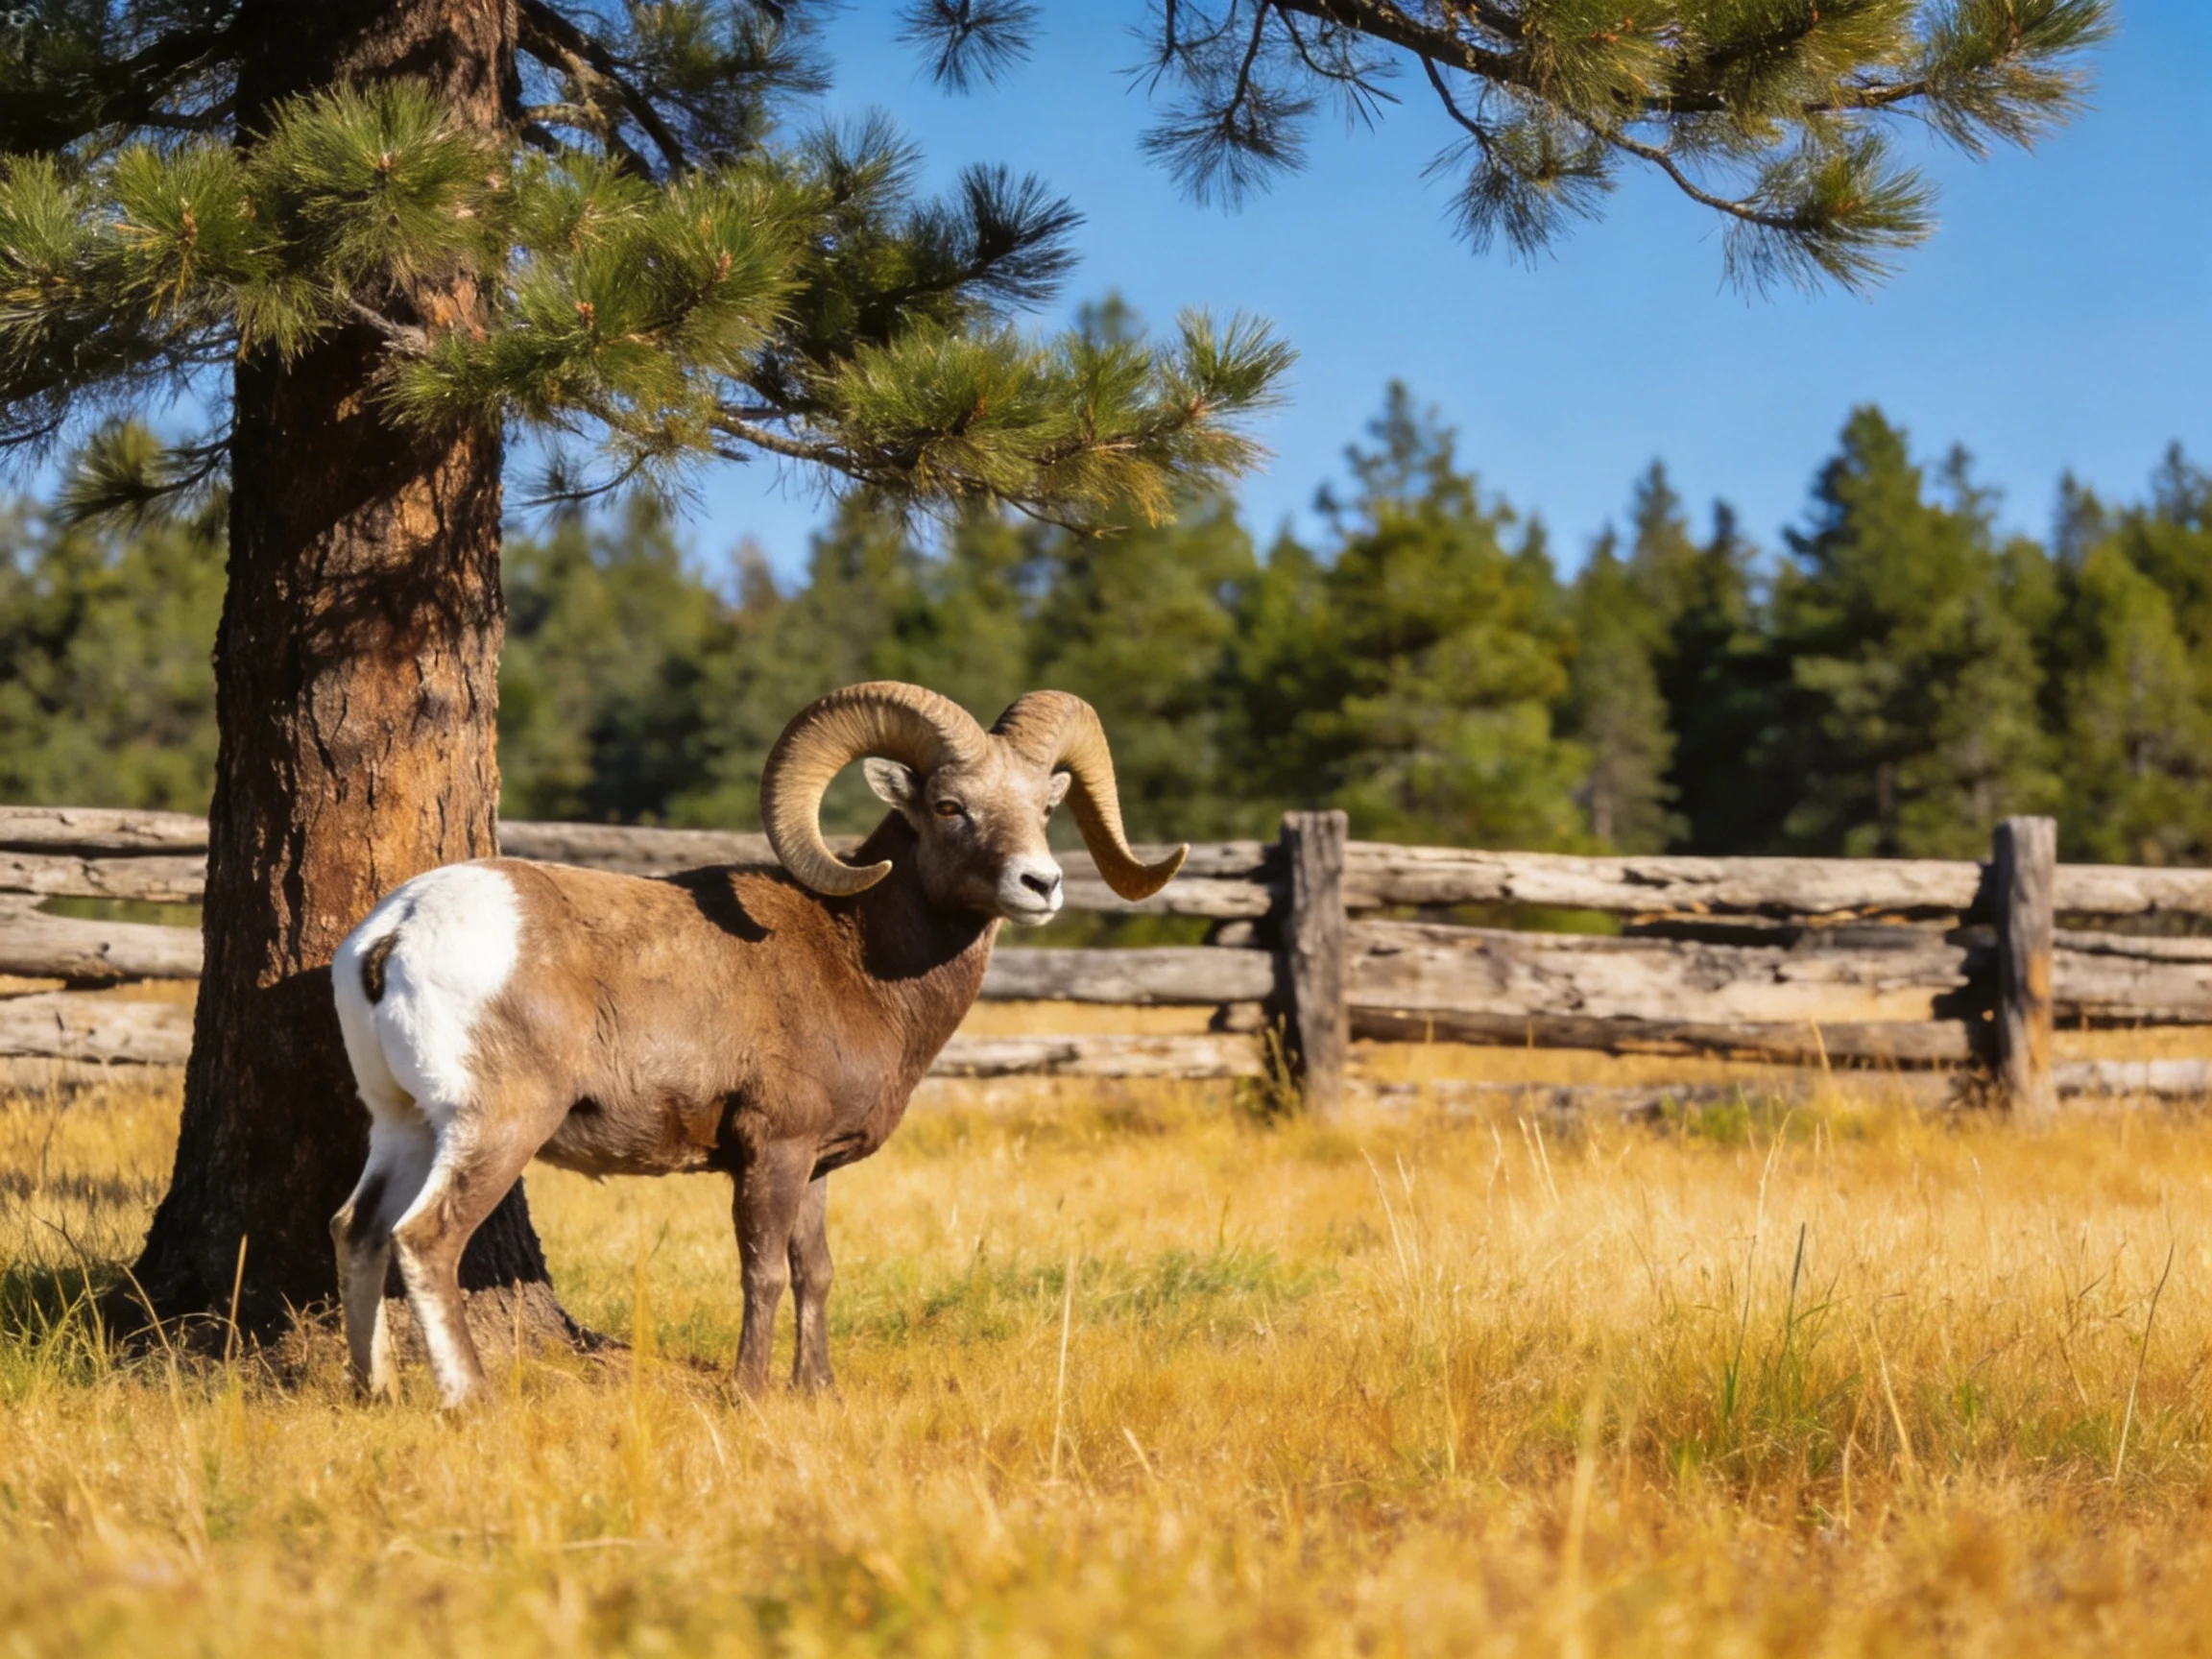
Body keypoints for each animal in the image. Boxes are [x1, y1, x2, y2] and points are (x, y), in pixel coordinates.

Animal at [328, 681, 1184, 1406]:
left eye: (1043, 807)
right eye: (949, 805)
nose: (1041, 885)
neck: (855, 956)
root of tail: (398, 929)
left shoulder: (815, 1165)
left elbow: (816, 1272)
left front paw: (818, 1392)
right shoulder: (774, 1150)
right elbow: (764, 1271)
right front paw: (749, 1393)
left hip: (403, 1123)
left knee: (359, 1228)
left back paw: (375, 1391)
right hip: (496, 1126)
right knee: (426, 1239)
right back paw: (471, 1400)